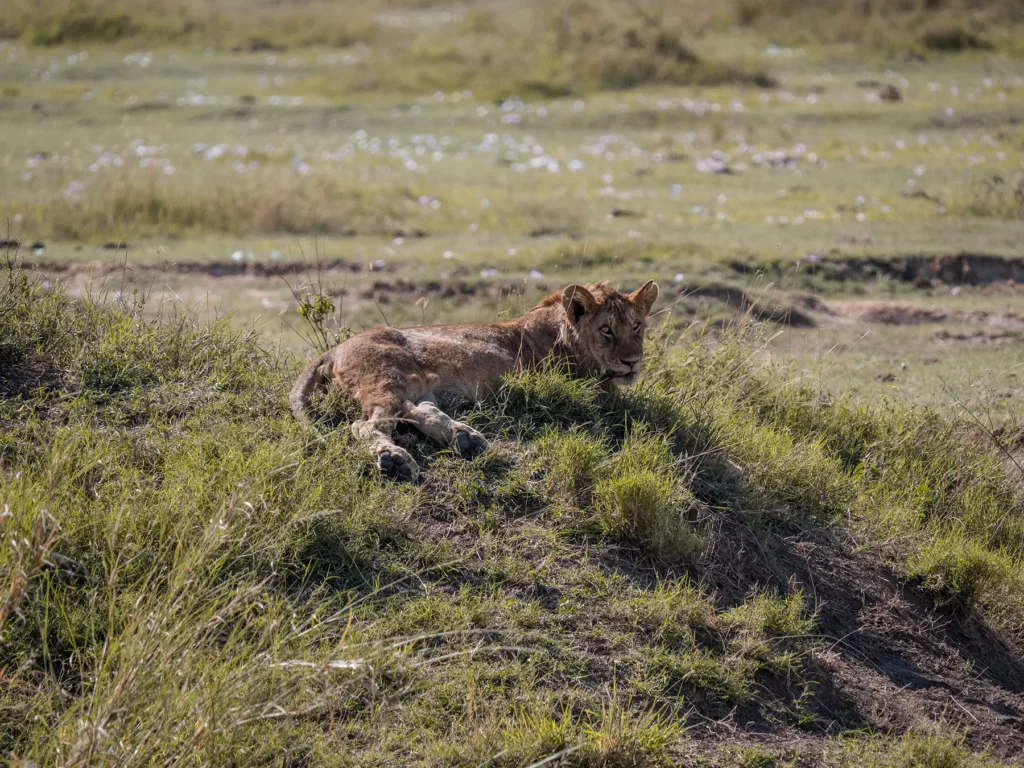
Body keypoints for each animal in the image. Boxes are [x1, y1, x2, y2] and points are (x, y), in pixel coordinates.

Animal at [289, 280, 659, 480]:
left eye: (636, 326)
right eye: (606, 330)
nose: (632, 362)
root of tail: (333, 350)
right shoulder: (585, 388)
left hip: (411, 384)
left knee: (417, 410)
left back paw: (465, 439)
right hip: (388, 379)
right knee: (366, 425)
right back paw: (394, 459)